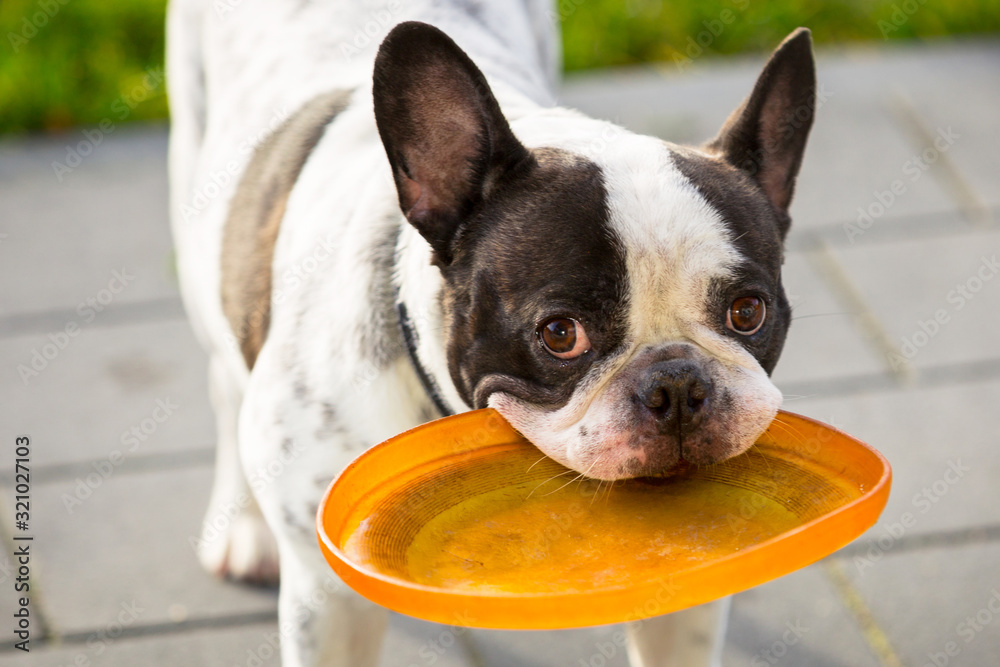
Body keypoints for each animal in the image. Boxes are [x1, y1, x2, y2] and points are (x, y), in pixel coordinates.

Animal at [168, 2, 816, 664]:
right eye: (560, 334)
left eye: (748, 312)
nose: (678, 384)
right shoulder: (328, 600)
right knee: (222, 378)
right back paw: (243, 528)